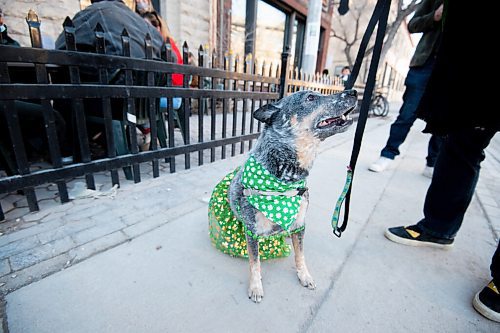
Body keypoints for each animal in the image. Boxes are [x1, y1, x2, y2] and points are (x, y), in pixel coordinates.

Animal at [209, 88, 358, 300]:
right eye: (310, 97)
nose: (353, 91)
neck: (285, 179)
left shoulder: (300, 224)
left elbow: (300, 254)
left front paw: (304, 275)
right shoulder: (252, 231)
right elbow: (255, 262)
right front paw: (256, 286)